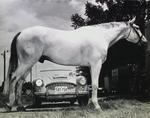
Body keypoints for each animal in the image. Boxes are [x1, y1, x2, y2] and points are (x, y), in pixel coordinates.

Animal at [2, 17, 147, 111]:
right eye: (137, 28)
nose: (145, 41)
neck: (100, 36)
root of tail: (22, 33)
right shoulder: (96, 64)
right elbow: (95, 85)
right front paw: (97, 106)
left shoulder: (89, 67)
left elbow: (89, 85)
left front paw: (90, 104)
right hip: (27, 62)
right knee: (14, 78)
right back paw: (10, 105)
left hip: (28, 63)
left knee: (20, 81)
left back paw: (20, 106)